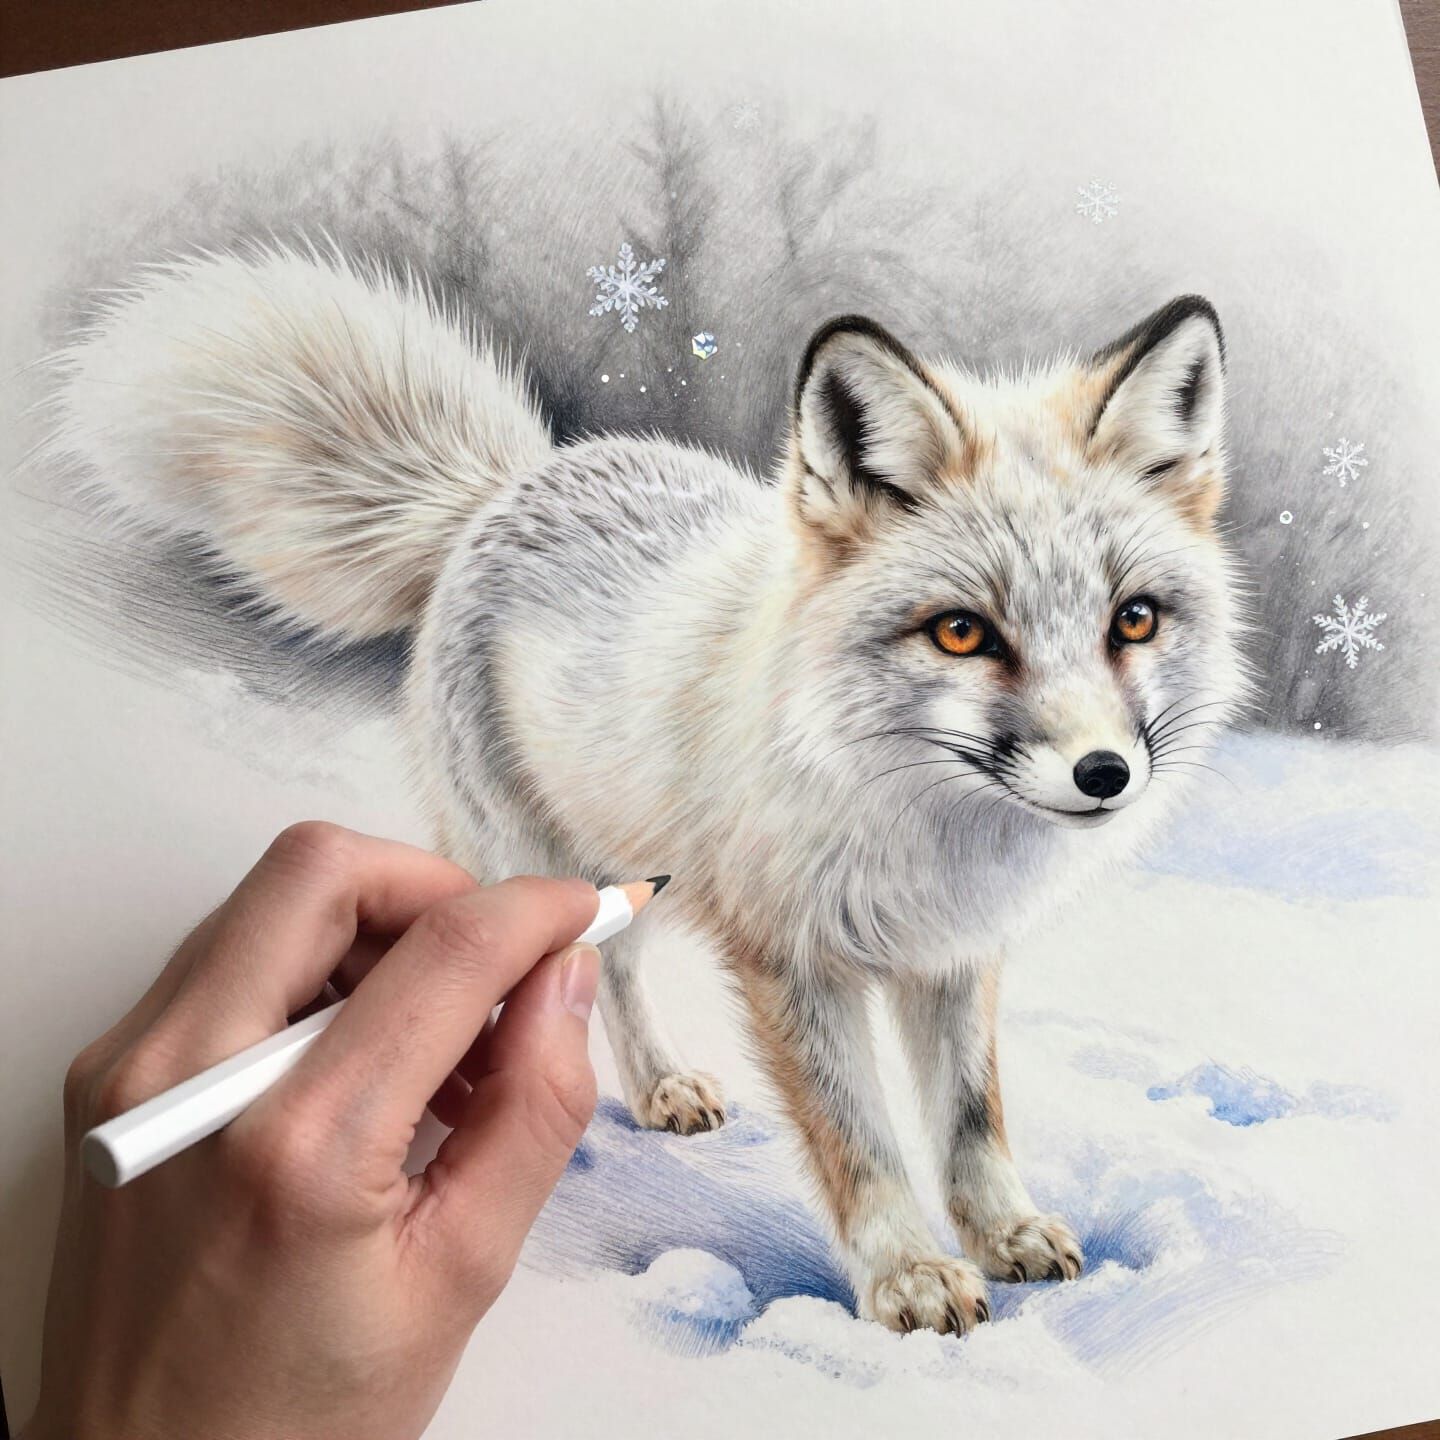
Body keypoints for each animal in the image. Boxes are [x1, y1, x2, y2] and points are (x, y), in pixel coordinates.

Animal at [48, 245, 1246, 1334]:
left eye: (1133, 620)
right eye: (963, 633)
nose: (1105, 774)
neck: (919, 821)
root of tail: (510, 486)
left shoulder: (952, 957)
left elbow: (969, 1120)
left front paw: (1003, 1235)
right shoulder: (789, 958)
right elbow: (859, 1138)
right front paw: (907, 1275)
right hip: (546, 867)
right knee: (601, 972)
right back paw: (626, 1088)